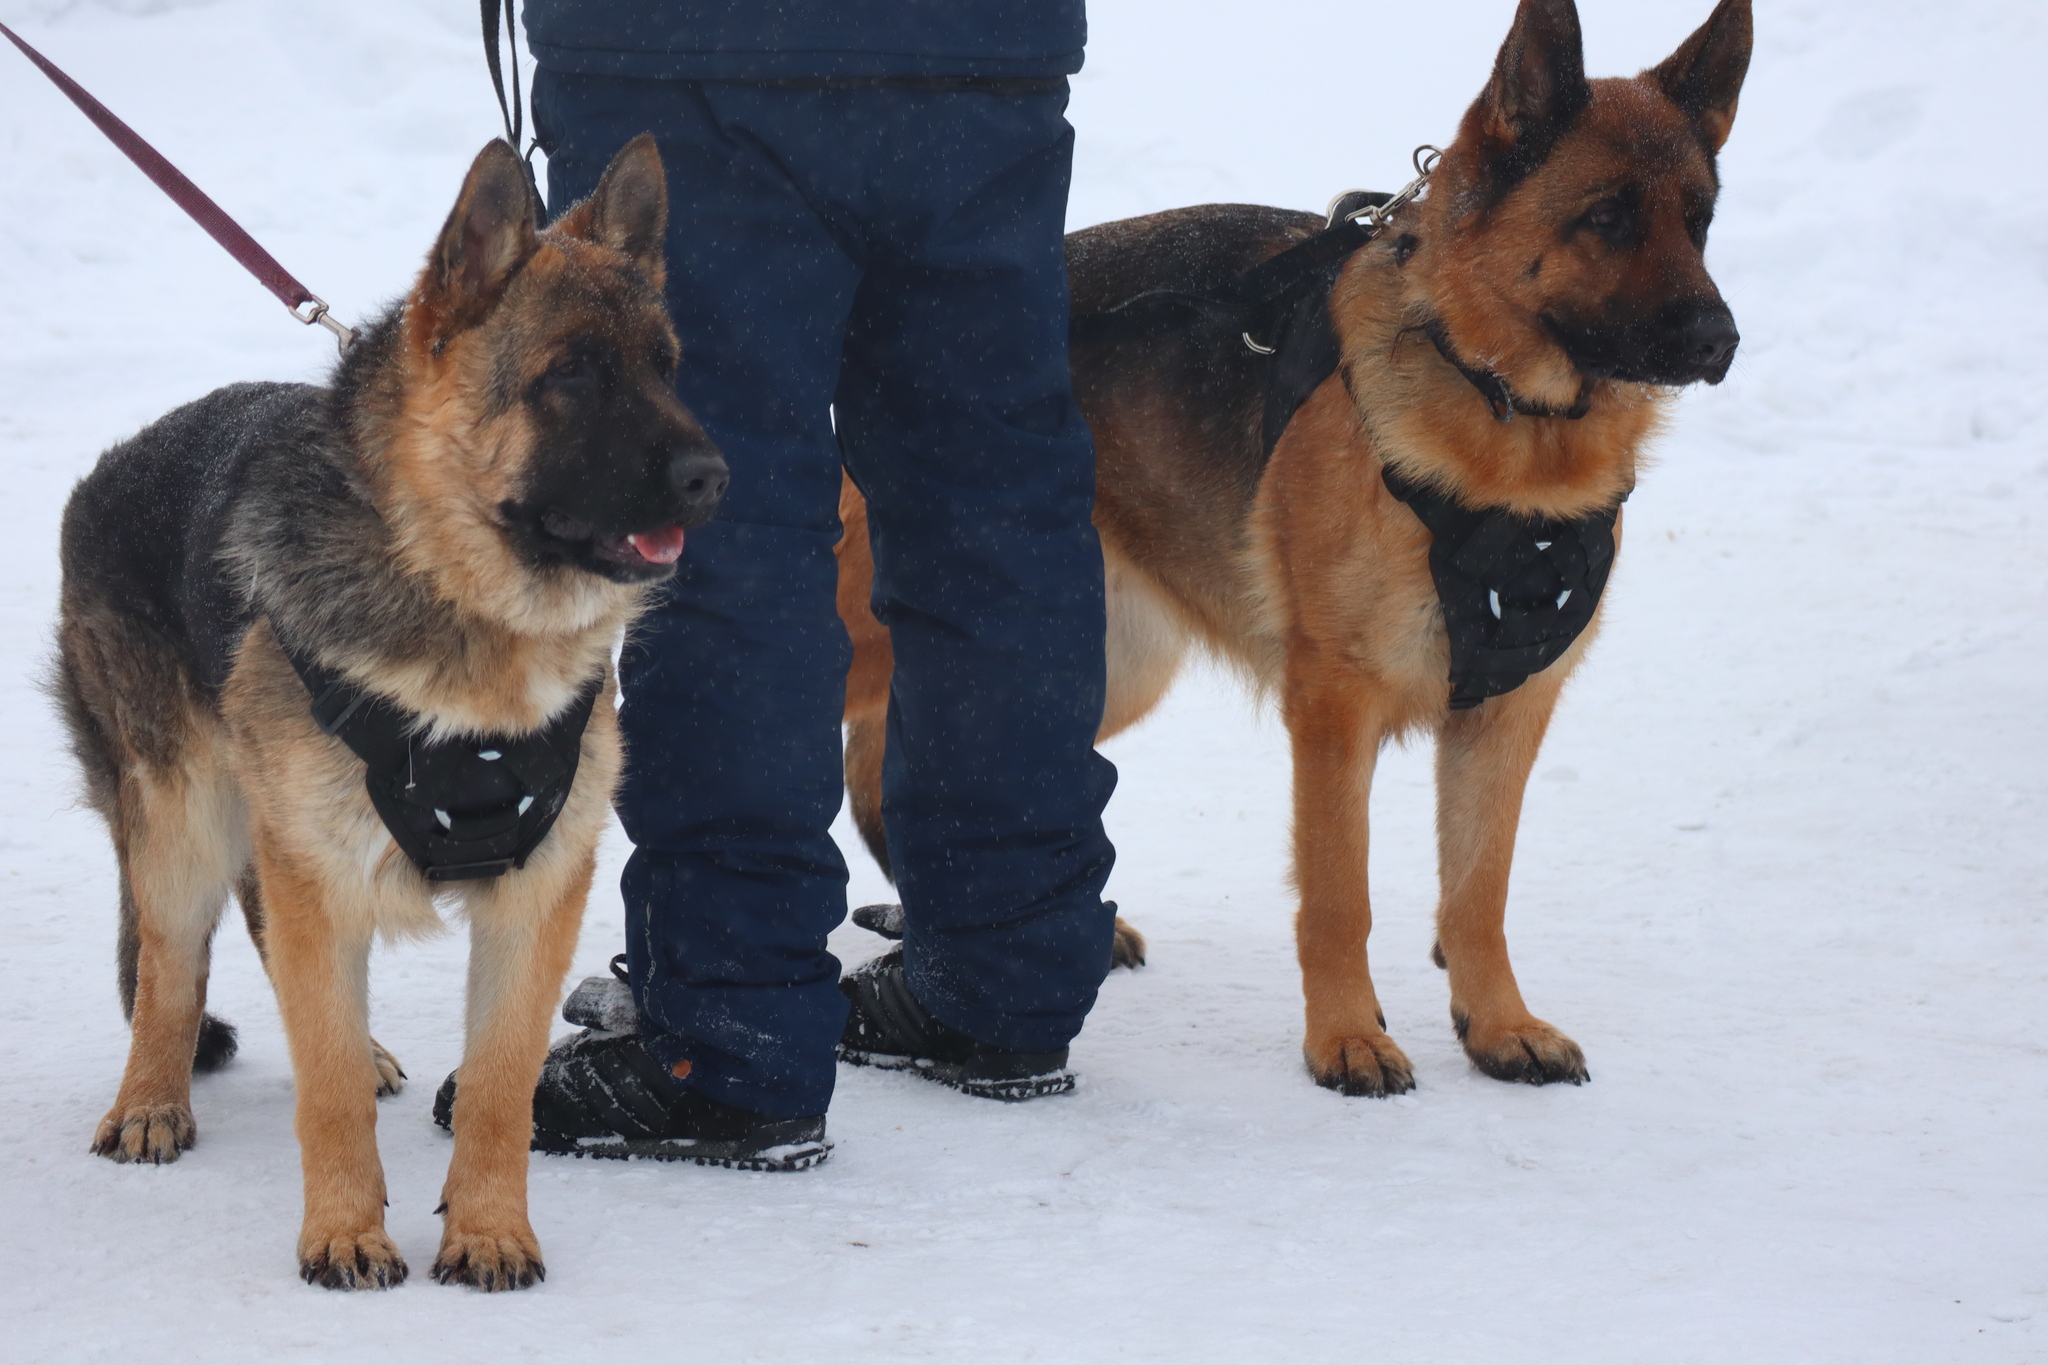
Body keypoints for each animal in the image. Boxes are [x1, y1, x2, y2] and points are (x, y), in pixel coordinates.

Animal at [56, 136, 724, 1293]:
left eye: (663, 367)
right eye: (571, 377)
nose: (712, 476)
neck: (455, 597)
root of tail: (113, 464)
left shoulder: (536, 893)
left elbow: (498, 1087)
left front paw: (490, 1229)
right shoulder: (317, 862)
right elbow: (320, 1086)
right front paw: (343, 1231)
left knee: (268, 935)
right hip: (184, 820)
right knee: (172, 964)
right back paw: (150, 1100)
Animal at [839, 0, 1753, 1096]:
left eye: (1697, 220)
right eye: (1605, 218)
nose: (1719, 341)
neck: (1497, 412)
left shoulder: (1507, 710)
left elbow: (1476, 893)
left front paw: (1497, 1023)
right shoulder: (1333, 707)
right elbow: (1337, 897)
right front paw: (1346, 1037)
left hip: (1089, 666)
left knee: (911, 752)